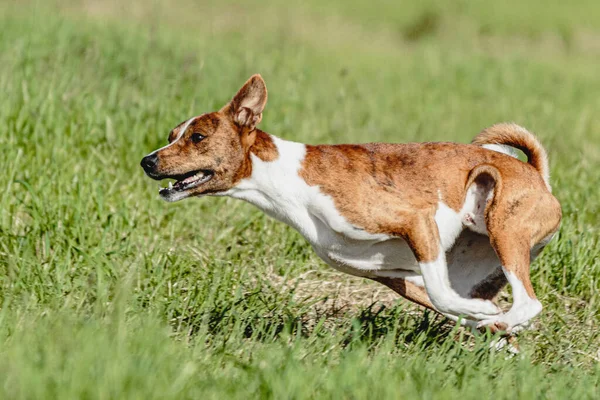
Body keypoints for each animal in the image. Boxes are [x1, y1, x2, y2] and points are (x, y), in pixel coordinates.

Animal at [142, 74, 564, 332]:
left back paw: (505, 320)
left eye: (197, 137)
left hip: (504, 230)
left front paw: (488, 317)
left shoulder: (416, 221)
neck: (290, 180)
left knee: (529, 303)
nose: (147, 161)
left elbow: (444, 297)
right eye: (172, 134)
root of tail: (536, 173)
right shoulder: (396, 275)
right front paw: (484, 319)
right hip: (479, 263)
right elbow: (447, 301)